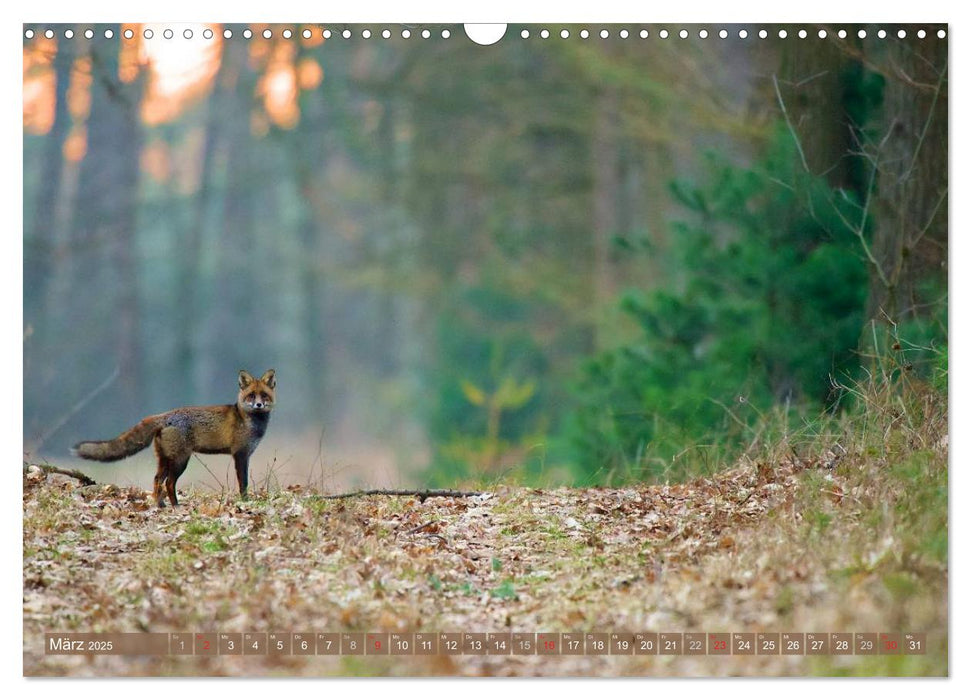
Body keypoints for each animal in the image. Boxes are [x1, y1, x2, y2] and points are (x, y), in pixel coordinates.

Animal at [73, 370, 274, 506]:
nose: (258, 404)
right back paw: (175, 505)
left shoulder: (243, 454)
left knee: (157, 480)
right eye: (251, 396)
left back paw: (160, 505)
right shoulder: (240, 454)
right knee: (169, 483)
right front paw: (246, 502)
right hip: (180, 460)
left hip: (164, 460)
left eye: (264, 395)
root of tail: (164, 415)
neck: (247, 420)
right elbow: (243, 483)